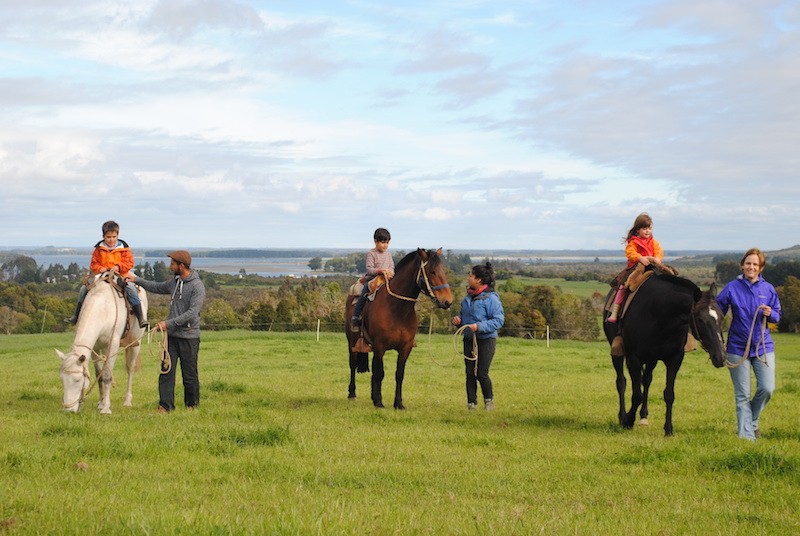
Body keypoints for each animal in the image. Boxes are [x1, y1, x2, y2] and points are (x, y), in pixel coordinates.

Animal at [57, 272, 150, 414]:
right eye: (62, 379)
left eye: (78, 380)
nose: (69, 410)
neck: (104, 308)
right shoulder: (95, 348)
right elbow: (99, 374)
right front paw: (101, 403)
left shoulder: (112, 346)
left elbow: (107, 376)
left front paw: (106, 408)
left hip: (135, 343)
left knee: (130, 369)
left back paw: (127, 401)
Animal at [346, 249, 454, 408]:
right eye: (432, 272)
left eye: (443, 271)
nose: (447, 301)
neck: (397, 309)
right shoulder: (380, 347)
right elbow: (380, 373)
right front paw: (379, 402)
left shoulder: (405, 348)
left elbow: (399, 374)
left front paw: (398, 403)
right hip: (352, 343)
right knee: (353, 366)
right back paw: (352, 394)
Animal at [604, 272, 728, 436]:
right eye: (700, 319)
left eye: (721, 317)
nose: (720, 357)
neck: (660, 314)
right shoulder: (633, 359)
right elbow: (637, 395)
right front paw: (628, 420)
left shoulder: (674, 359)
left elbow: (669, 394)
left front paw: (668, 429)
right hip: (618, 354)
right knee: (621, 382)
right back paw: (622, 415)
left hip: (651, 360)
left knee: (646, 381)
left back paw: (643, 416)